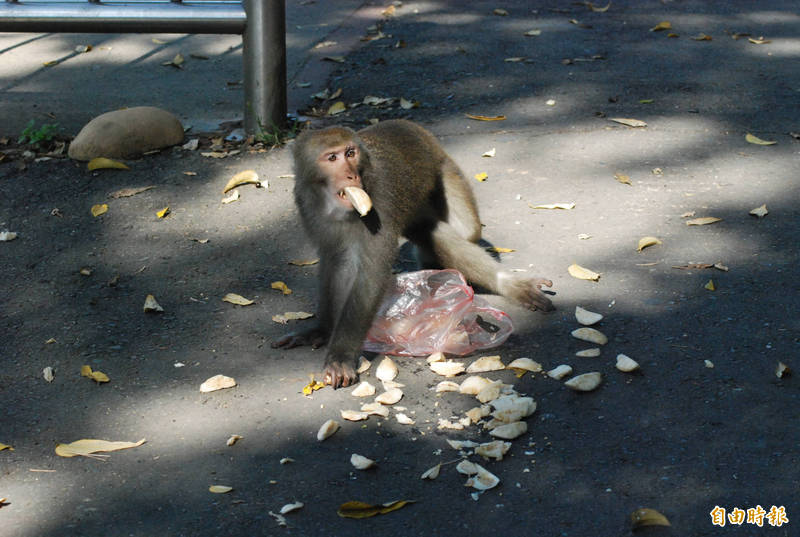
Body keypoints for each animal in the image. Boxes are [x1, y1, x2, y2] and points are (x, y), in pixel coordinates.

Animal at [272, 119, 552, 388]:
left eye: (350, 153)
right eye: (332, 158)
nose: (351, 176)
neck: (332, 206)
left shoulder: (380, 200)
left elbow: (370, 276)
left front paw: (341, 357)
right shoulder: (307, 205)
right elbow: (337, 263)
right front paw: (322, 329)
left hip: (447, 171)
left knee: (452, 231)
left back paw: (508, 285)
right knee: (424, 231)